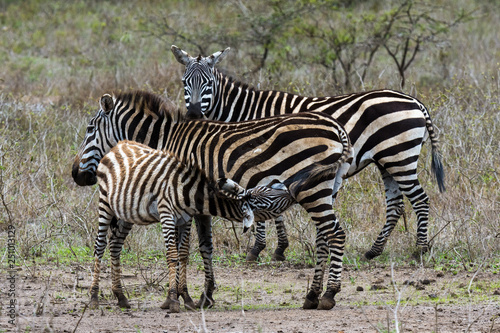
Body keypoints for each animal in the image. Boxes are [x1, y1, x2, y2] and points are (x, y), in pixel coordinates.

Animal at [92, 140, 306, 312]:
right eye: (267, 193)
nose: (291, 187)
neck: (189, 192)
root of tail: (119, 145)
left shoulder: (185, 218)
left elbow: (183, 255)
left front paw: (186, 298)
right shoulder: (166, 213)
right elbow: (172, 255)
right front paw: (172, 300)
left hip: (126, 213)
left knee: (115, 246)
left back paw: (121, 297)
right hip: (105, 204)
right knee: (100, 246)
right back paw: (94, 297)